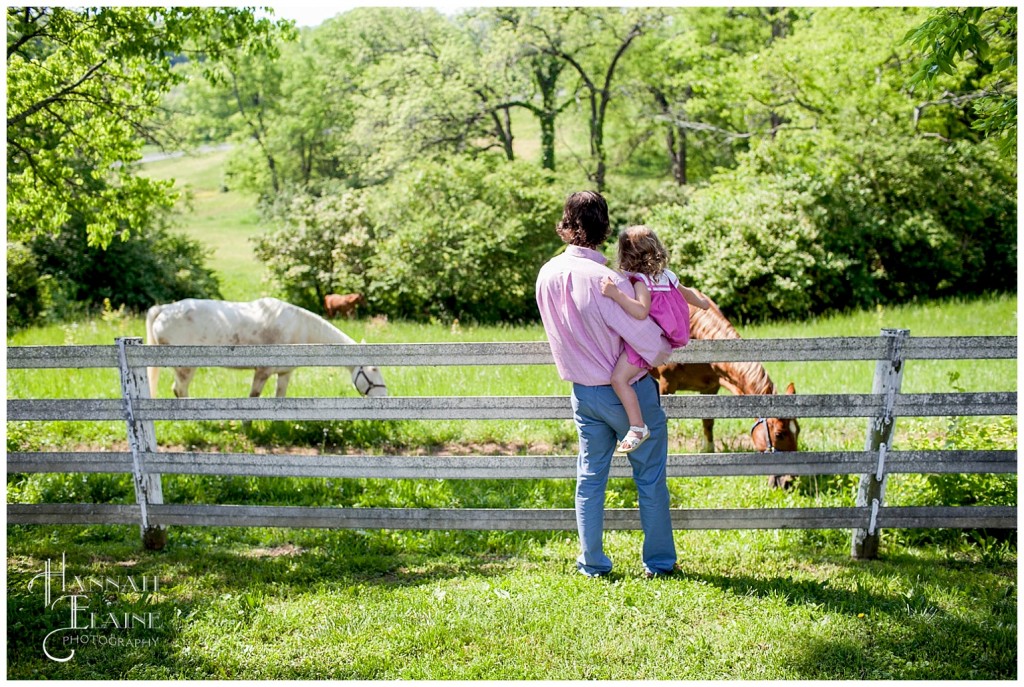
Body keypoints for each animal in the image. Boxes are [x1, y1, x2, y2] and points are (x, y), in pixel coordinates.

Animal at [142, 298, 385, 401]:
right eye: (373, 370)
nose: (384, 396)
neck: (298, 327)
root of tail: (164, 309)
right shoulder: (262, 371)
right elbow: (254, 397)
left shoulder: (284, 373)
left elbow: (280, 397)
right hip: (184, 367)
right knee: (180, 390)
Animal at [647, 288, 798, 489]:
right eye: (779, 434)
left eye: (798, 430)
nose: (790, 481)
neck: (697, 331)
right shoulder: (666, 384)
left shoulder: (710, 388)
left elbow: (708, 422)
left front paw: (708, 452)